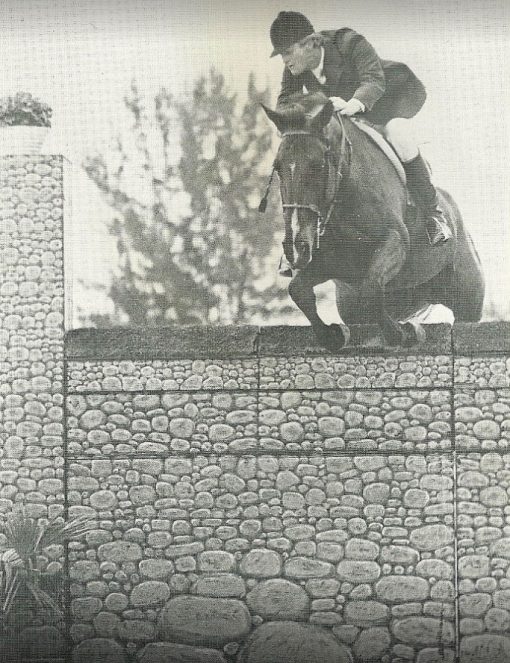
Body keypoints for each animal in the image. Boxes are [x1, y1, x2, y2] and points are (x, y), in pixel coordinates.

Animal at [260, 92, 485, 351]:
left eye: (318, 165)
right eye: (277, 167)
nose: (296, 246)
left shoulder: (396, 241)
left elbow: (372, 287)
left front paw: (402, 334)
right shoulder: (331, 263)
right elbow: (298, 290)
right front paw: (332, 336)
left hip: (467, 297)